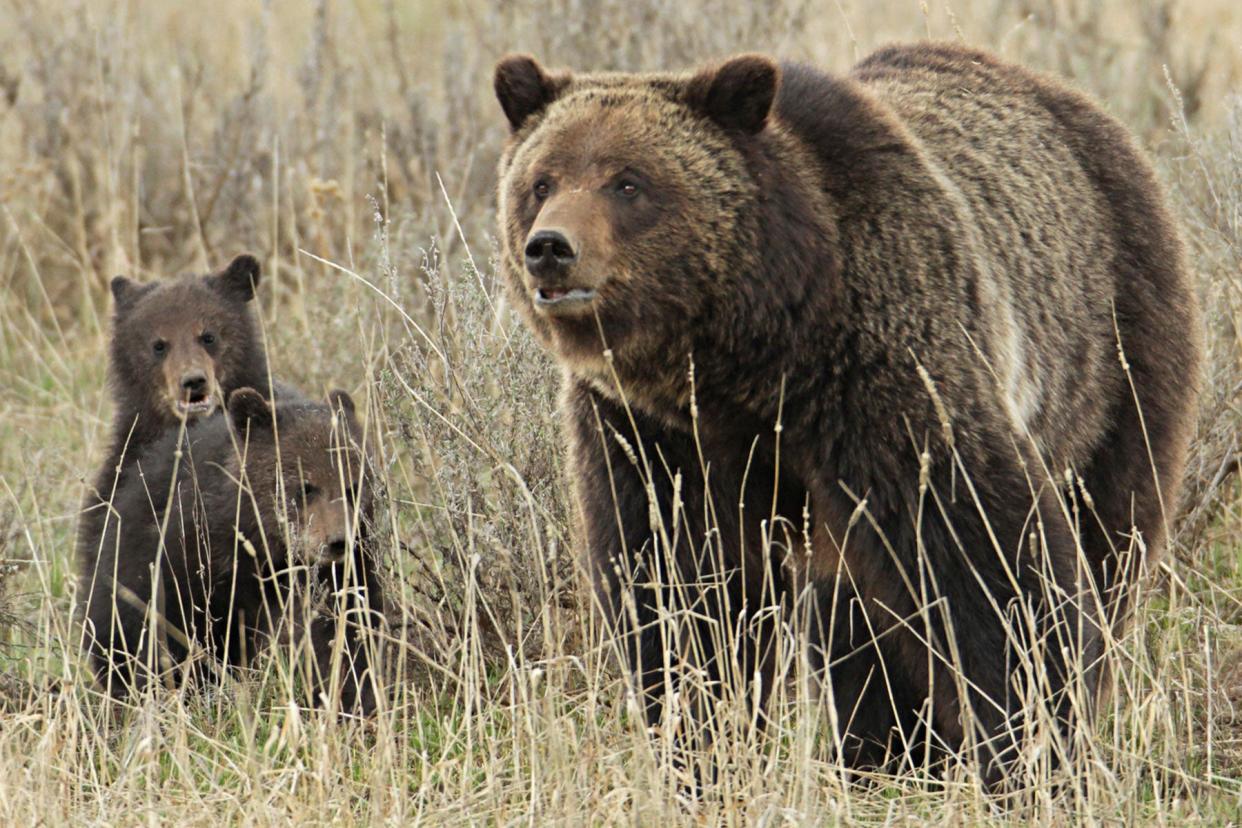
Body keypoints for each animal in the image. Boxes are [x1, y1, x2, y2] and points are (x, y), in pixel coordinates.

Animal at [80, 387, 380, 715]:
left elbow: (345, 634)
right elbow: (172, 634)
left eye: (353, 486)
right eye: (305, 487)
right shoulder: (191, 563)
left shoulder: (342, 577)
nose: (338, 541)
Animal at [494, 43, 1202, 784]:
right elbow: (678, 582)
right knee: (857, 619)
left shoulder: (882, 372)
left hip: (1112, 349)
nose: (550, 247)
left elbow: (987, 553)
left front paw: (1035, 742)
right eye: (542, 181)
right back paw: (883, 750)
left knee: (1111, 528)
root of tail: (1062, 96)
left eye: (629, 183)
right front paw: (699, 742)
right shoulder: (650, 432)